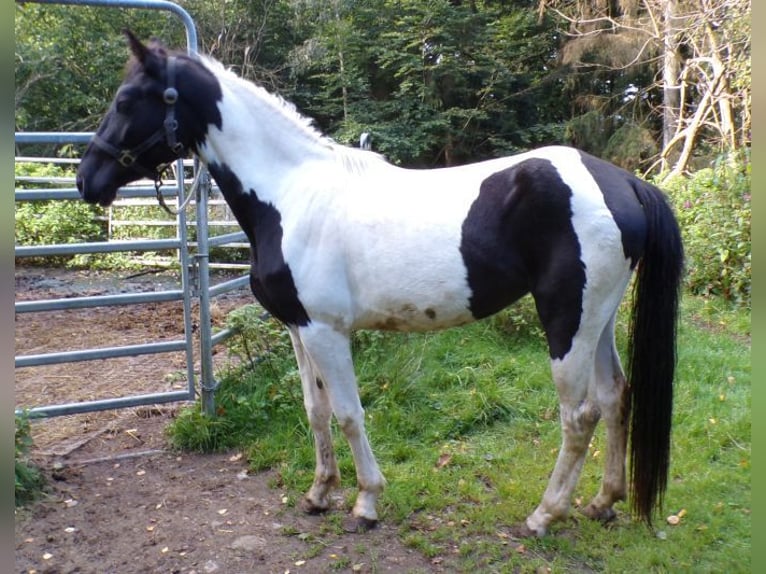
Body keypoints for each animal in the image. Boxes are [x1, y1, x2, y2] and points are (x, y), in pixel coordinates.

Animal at [76, 31, 683, 537]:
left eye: (126, 101)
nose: (87, 181)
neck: (291, 195)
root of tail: (621, 181)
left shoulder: (326, 331)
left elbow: (349, 414)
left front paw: (366, 502)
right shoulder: (298, 330)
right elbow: (315, 411)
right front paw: (319, 494)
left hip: (566, 322)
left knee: (579, 416)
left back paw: (543, 515)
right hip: (598, 319)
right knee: (615, 396)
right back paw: (604, 502)